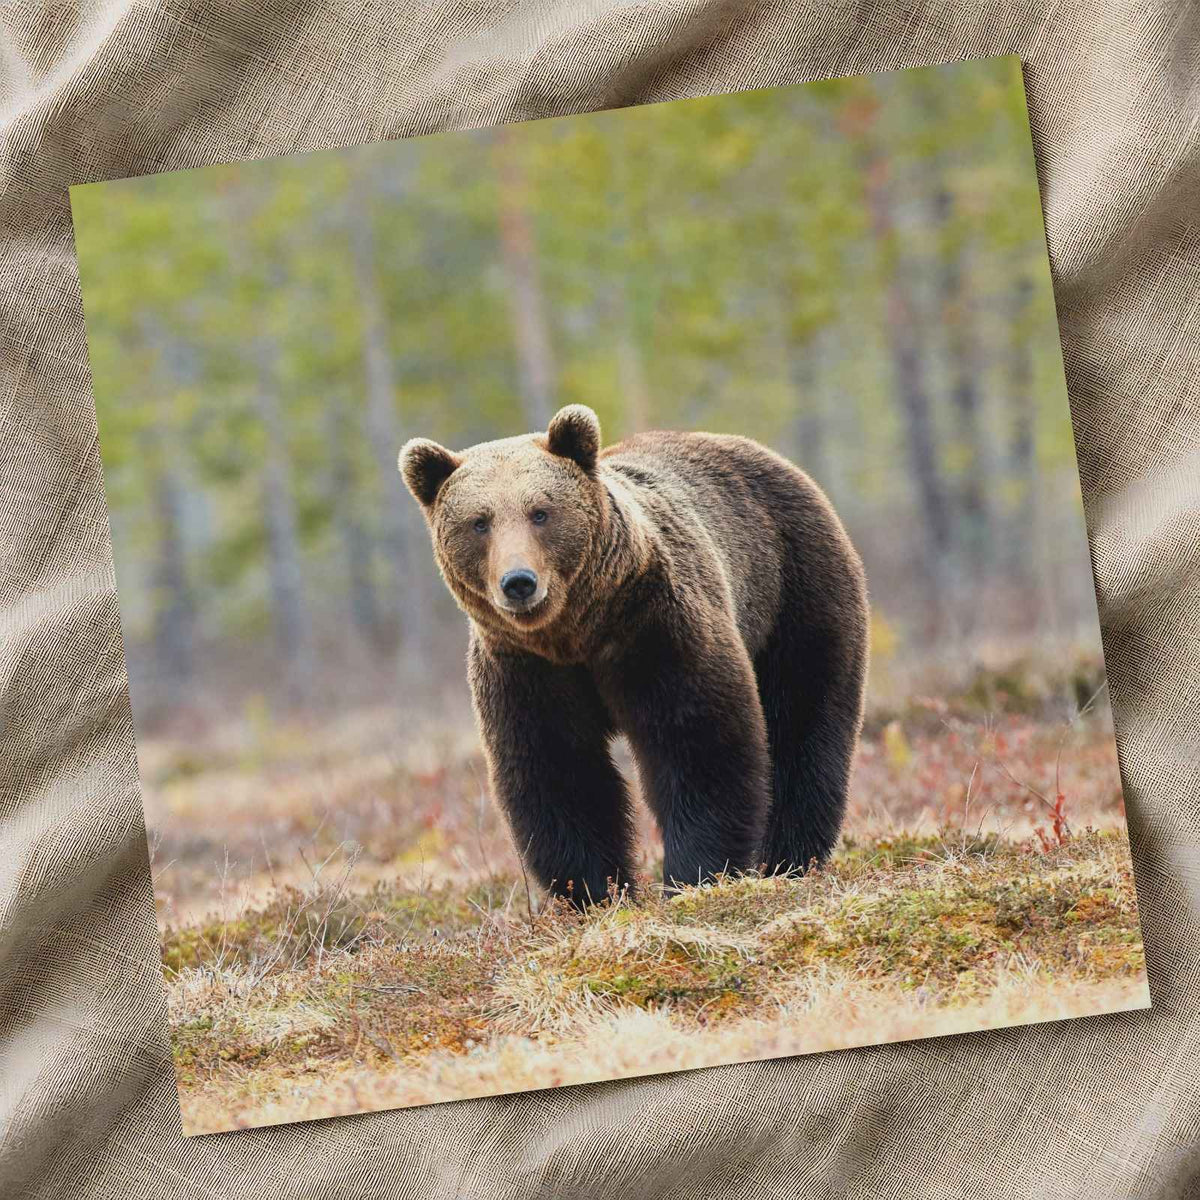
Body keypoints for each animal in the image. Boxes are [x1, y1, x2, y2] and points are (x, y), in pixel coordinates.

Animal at [399, 404, 868, 904]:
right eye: (479, 521)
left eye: (540, 512)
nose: (519, 582)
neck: (576, 631)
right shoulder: (525, 668)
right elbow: (557, 770)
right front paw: (594, 890)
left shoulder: (654, 626)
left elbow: (697, 742)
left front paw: (695, 874)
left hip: (794, 587)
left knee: (803, 718)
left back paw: (791, 856)